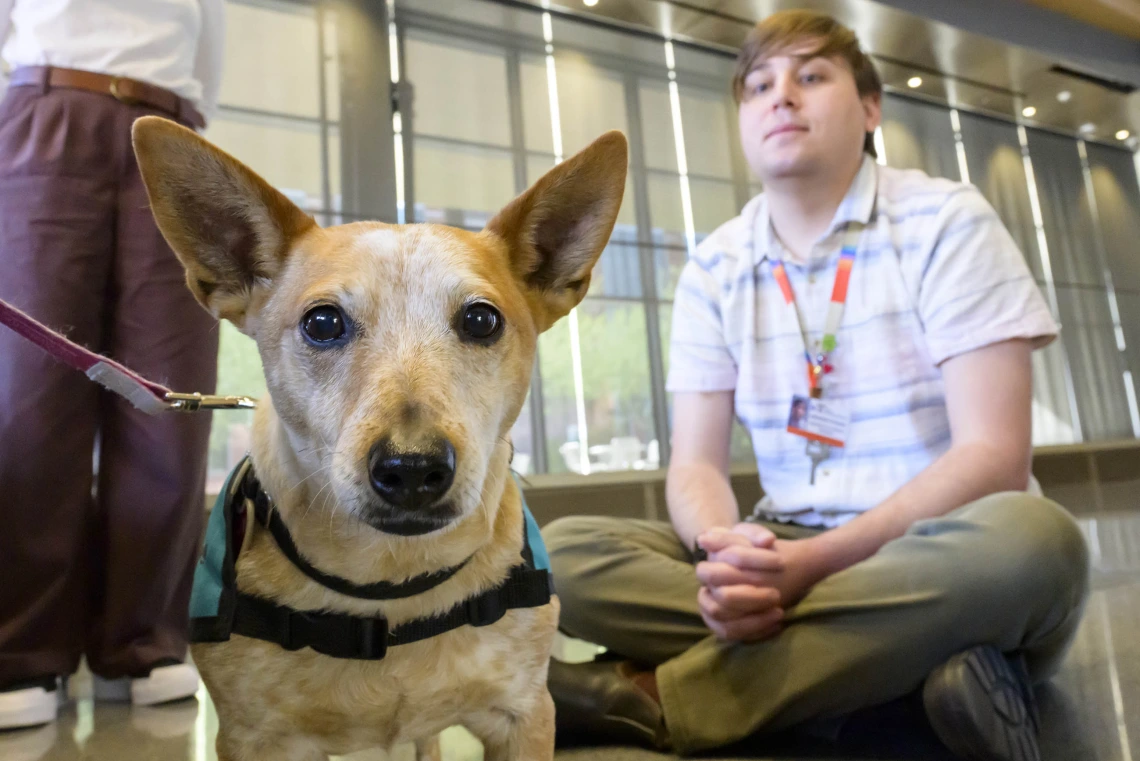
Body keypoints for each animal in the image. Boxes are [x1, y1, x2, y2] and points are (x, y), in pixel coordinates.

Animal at [132, 114, 629, 761]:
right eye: (322, 323)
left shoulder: (523, 715)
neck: (391, 589)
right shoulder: (254, 738)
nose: (412, 468)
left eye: (481, 319)